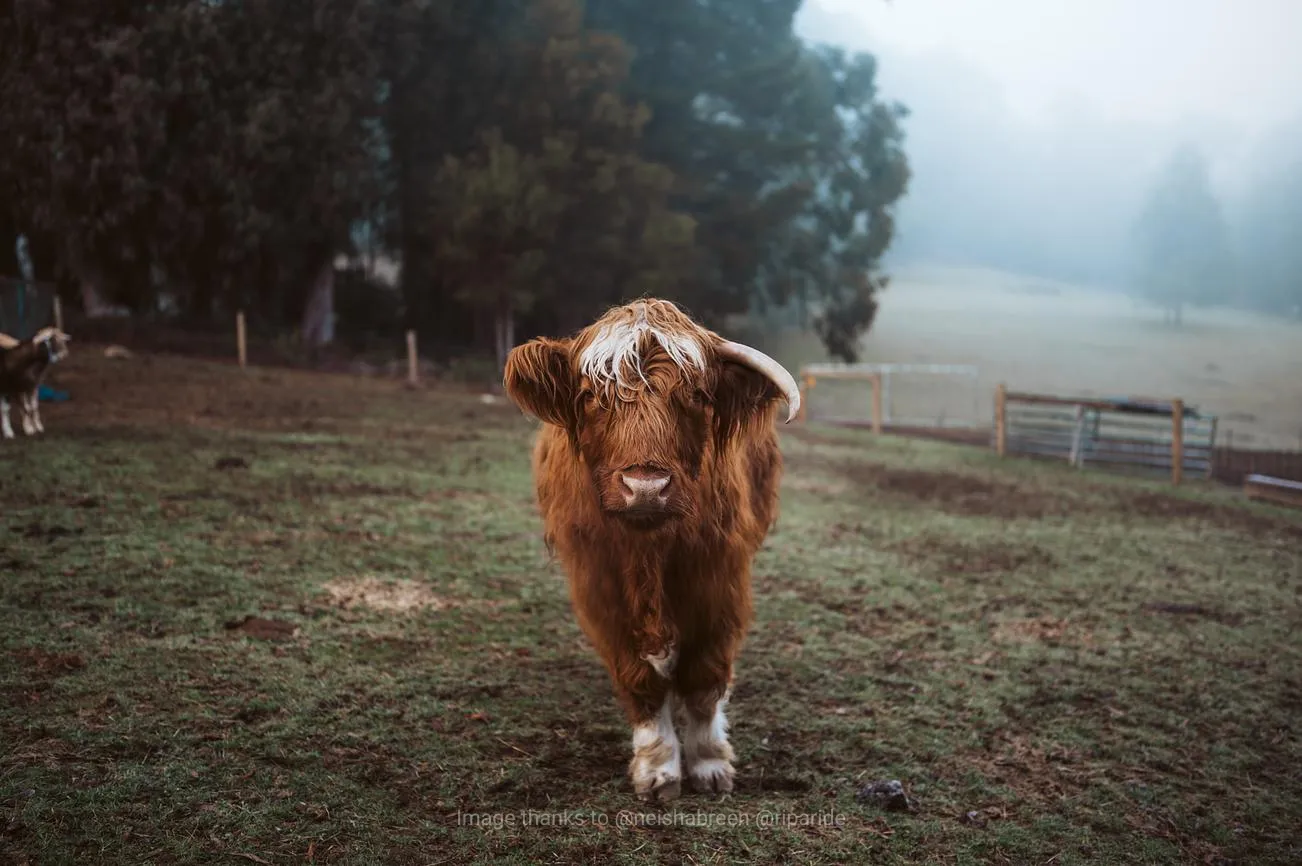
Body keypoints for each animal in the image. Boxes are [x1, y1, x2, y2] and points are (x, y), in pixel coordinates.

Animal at [499, 300, 796, 802]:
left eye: (696, 395)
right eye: (590, 396)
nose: (646, 487)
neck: (650, 552)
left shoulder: (721, 578)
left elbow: (705, 678)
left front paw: (710, 764)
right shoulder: (599, 587)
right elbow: (640, 679)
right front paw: (658, 769)